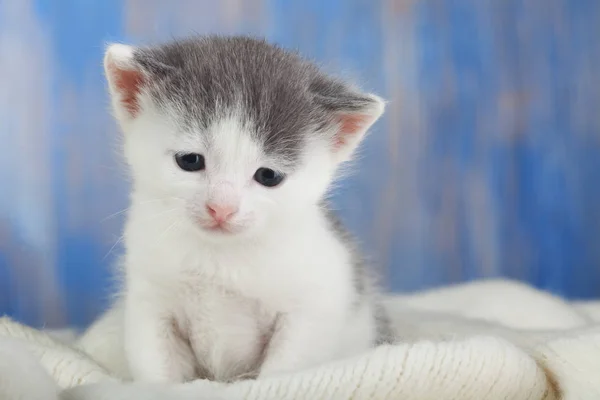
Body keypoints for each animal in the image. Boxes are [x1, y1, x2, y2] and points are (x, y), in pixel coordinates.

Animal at [99, 36, 390, 382]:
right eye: (190, 160)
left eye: (269, 176)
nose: (221, 208)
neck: (220, 257)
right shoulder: (150, 302)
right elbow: (158, 369)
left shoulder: (313, 306)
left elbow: (283, 370)